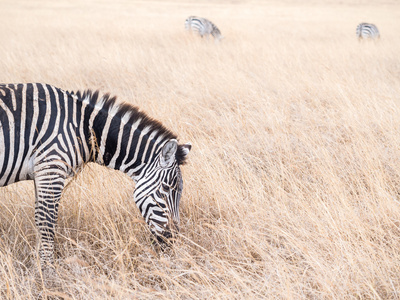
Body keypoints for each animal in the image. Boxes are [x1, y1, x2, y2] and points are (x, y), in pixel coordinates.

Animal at [0, 82, 192, 270]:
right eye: (166, 188)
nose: (172, 240)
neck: (83, 127)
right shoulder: (51, 166)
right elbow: (47, 221)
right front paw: (48, 270)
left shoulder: (42, 172)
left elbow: (40, 219)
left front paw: (38, 265)